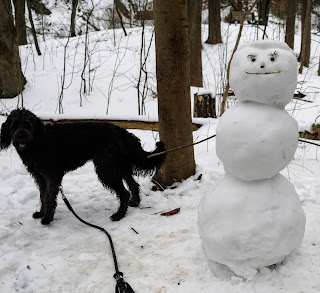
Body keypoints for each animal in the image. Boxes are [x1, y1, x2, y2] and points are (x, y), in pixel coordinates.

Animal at [0, 108, 165, 225]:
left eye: (28, 124)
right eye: (14, 125)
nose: (21, 135)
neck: (37, 143)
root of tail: (121, 130)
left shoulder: (52, 176)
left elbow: (49, 197)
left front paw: (47, 218)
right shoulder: (40, 177)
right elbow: (43, 195)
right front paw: (42, 212)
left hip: (106, 169)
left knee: (124, 192)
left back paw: (118, 215)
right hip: (118, 165)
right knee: (133, 184)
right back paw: (135, 202)